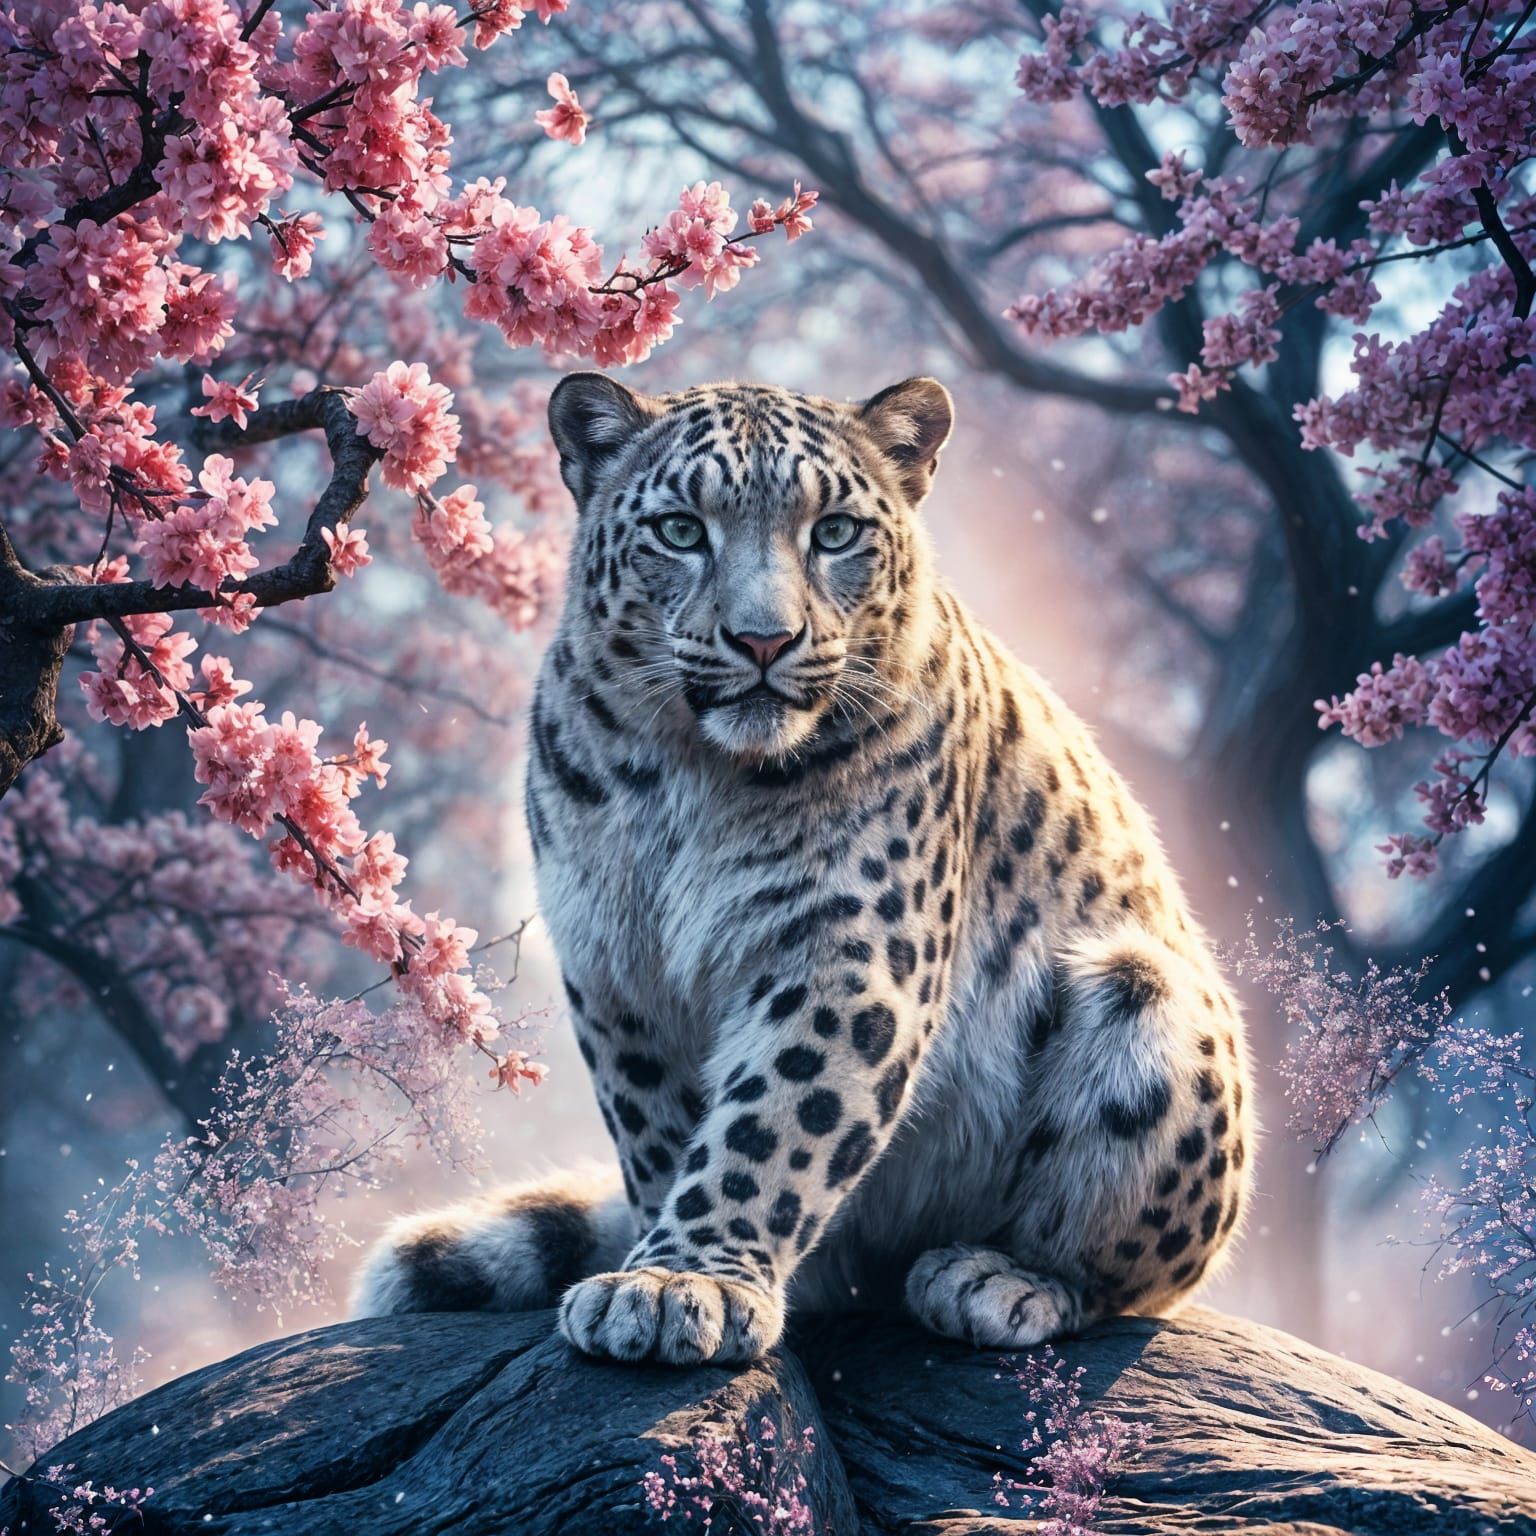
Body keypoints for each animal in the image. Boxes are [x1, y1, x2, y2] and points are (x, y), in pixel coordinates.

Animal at [353, 372, 1255, 1365]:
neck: (693, 778)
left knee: (1129, 1272)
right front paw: (660, 1269)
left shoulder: (848, 950)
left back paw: (996, 1282)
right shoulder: (615, 964)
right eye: (681, 530)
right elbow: (664, 1129)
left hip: (1151, 995)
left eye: (835, 532)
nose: (762, 640)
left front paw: (684, 1282)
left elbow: (775, 1122)